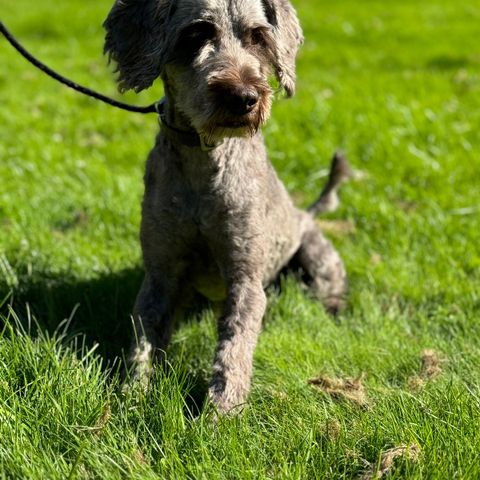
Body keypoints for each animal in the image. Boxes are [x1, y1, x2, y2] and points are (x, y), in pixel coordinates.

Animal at [104, 0, 348, 412]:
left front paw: (220, 413)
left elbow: (234, 349)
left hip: (315, 258)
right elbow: (144, 340)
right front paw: (131, 395)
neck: (204, 168)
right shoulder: (161, 273)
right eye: (196, 34)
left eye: (259, 37)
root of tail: (306, 214)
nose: (244, 97)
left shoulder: (244, 278)